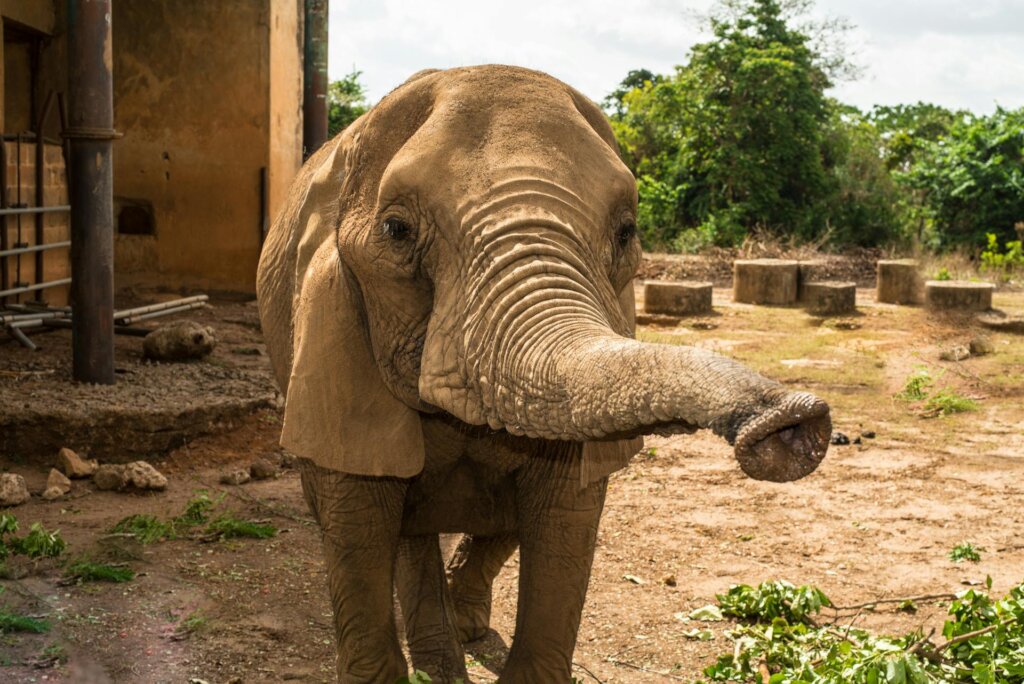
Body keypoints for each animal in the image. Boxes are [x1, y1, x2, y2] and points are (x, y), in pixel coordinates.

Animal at [256, 65, 831, 682]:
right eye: (396, 230)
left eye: (626, 232)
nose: (794, 424)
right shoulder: (331, 329)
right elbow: (356, 520)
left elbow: (564, 516)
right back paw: (442, 660)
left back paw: (462, 633)